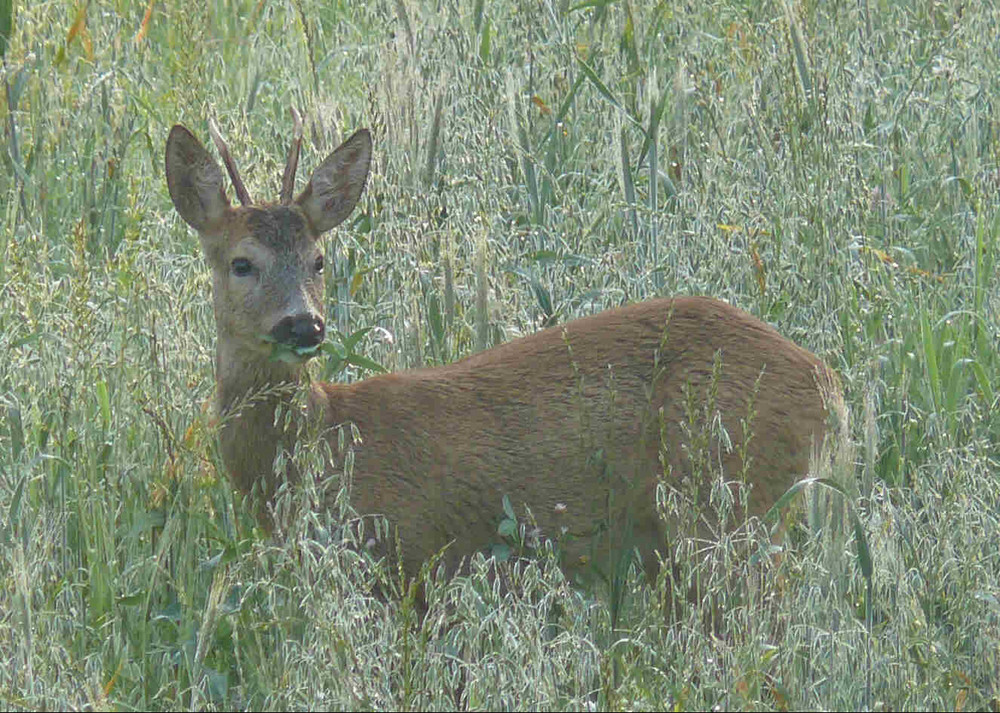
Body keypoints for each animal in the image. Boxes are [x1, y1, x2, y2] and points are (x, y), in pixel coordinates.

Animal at [164, 119, 844, 588]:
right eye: (241, 263)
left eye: (319, 260)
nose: (304, 324)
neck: (328, 440)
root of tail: (827, 384)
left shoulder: (416, 557)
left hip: (724, 501)